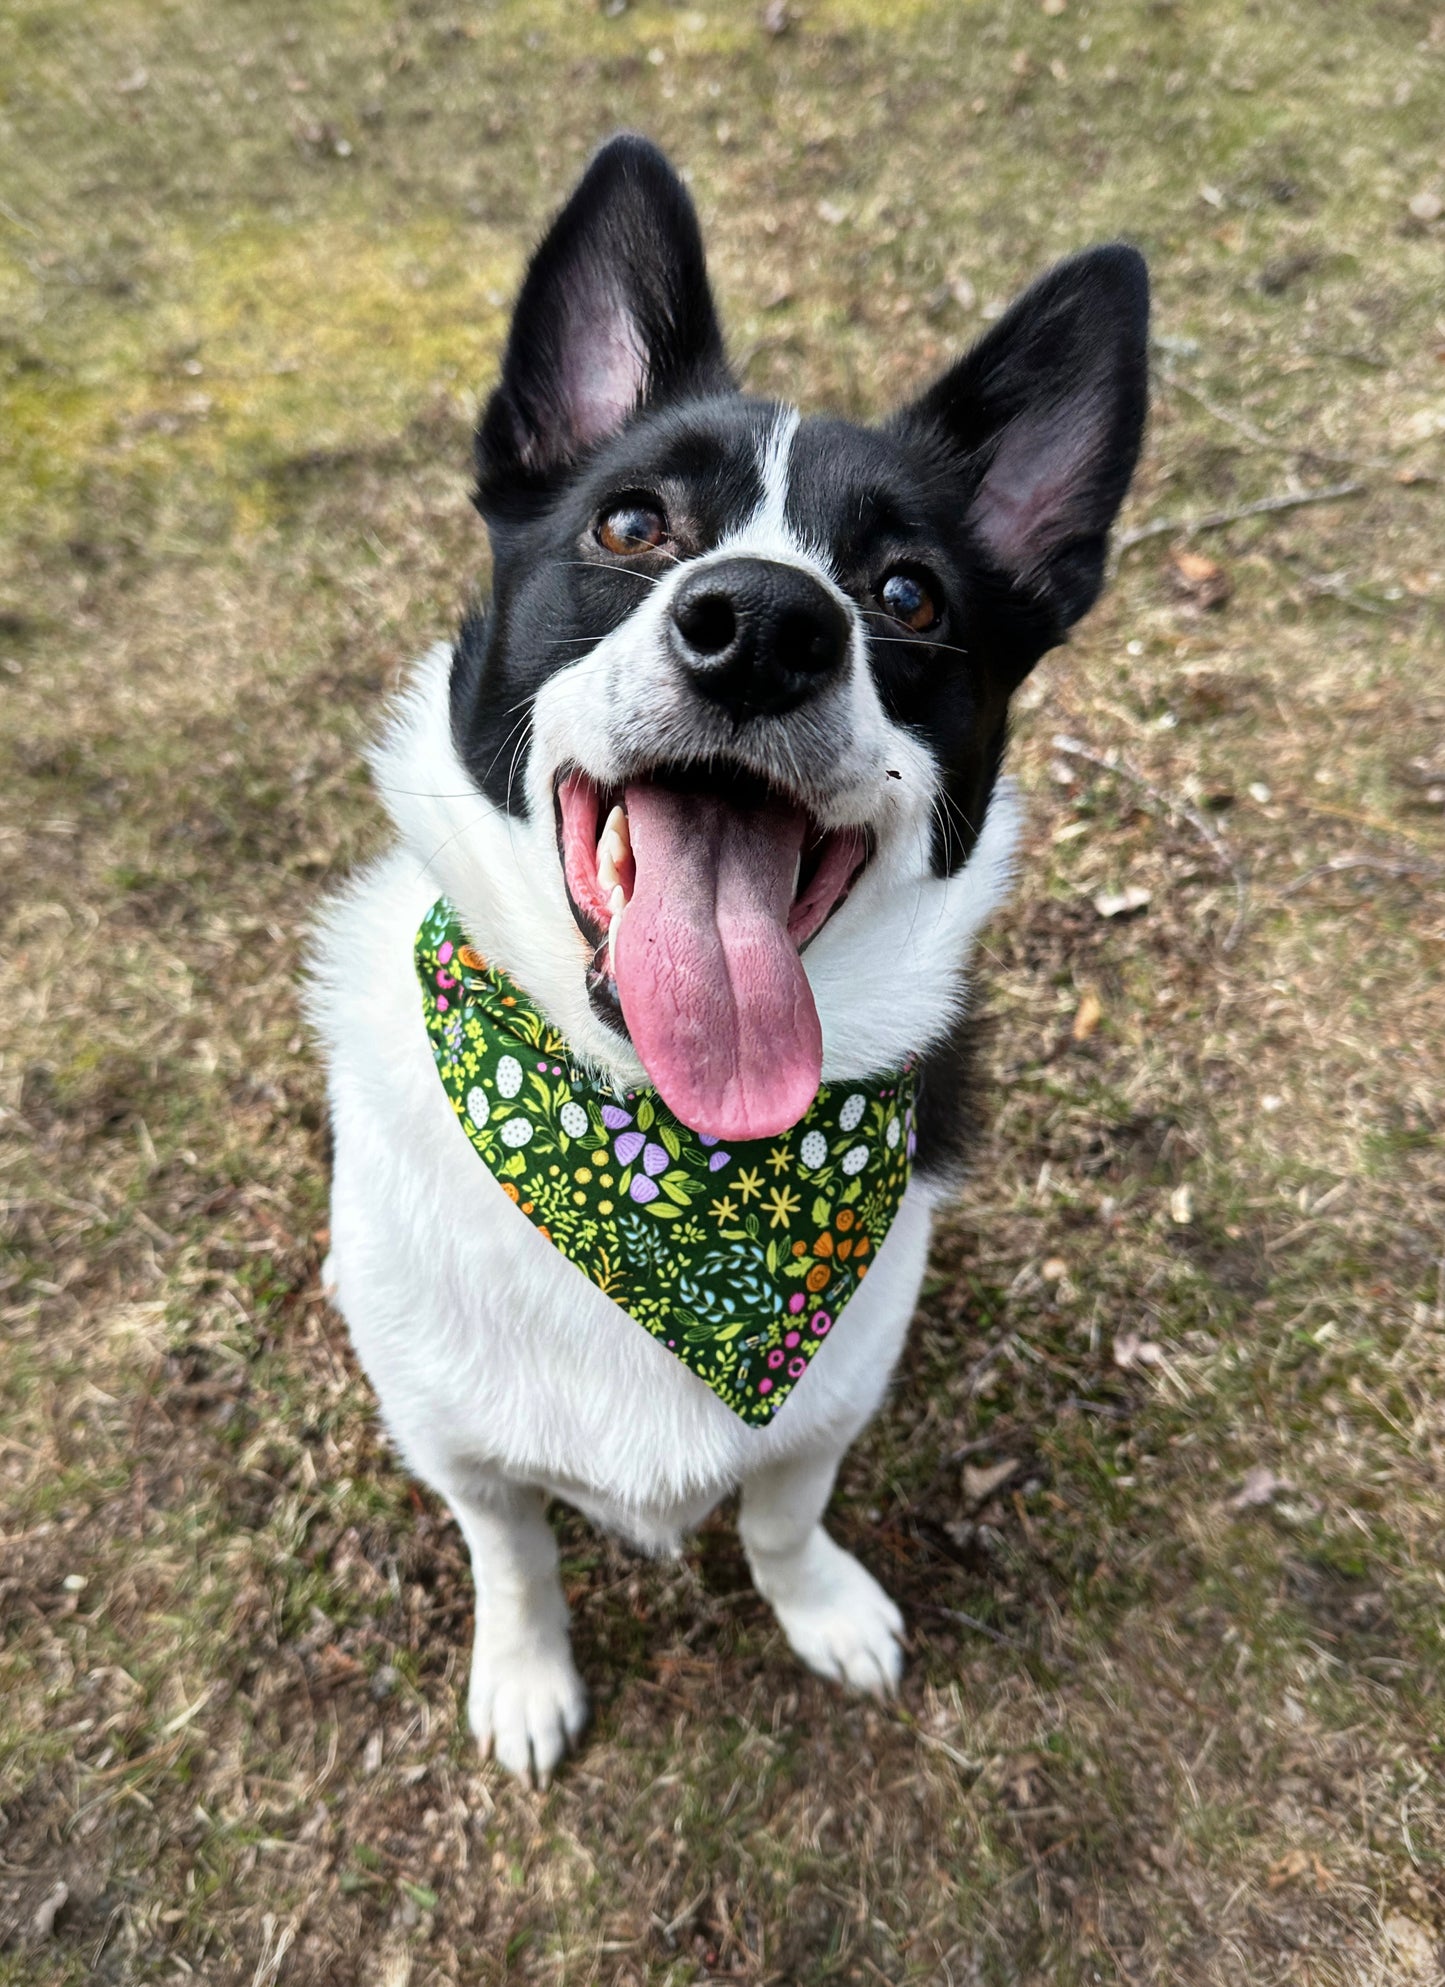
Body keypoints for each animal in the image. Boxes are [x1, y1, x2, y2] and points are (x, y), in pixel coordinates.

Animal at [310, 140, 1144, 1788]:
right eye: (633, 526)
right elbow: (512, 1546)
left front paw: (816, 1604)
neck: (660, 1153)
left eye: (908, 595)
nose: (762, 624)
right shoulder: (449, 1435)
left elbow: (779, 1509)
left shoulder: (828, 1404)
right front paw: (524, 1673)